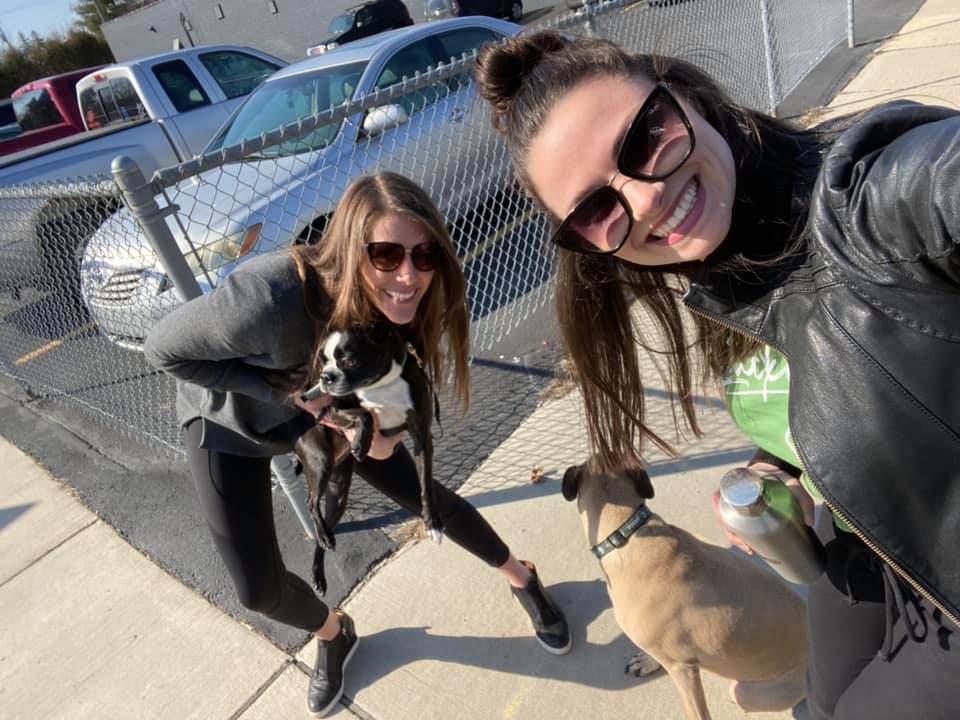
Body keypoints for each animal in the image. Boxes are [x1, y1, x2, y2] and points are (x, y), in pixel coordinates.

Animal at [295, 323, 440, 593]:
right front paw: (363, 442)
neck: (382, 386)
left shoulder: (422, 438)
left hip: (338, 493)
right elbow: (365, 413)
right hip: (320, 461)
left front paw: (432, 522)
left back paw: (320, 568)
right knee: (310, 502)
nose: (325, 377)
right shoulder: (334, 409)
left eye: (349, 361)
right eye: (323, 361)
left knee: (323, 526)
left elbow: (425, 485)